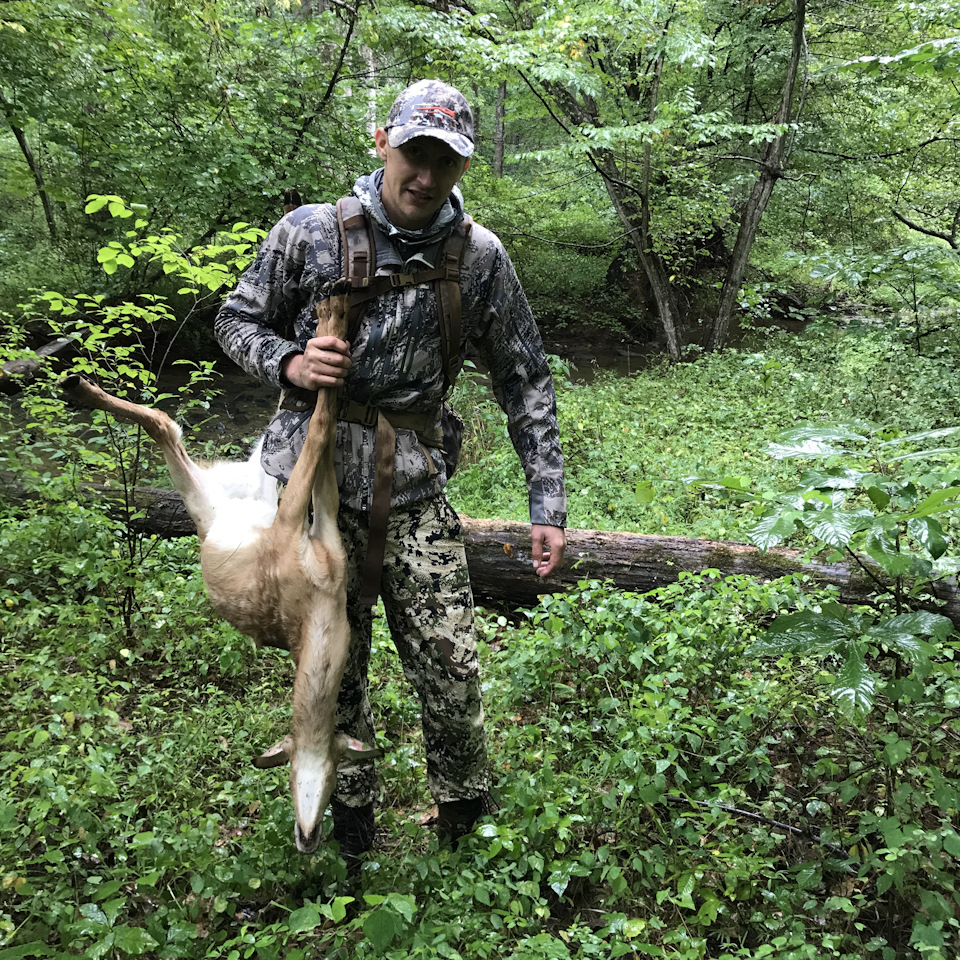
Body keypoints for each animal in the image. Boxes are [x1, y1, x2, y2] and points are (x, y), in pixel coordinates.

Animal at [61, 280, 378, 856]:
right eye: (294, 772)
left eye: (334, 774)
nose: (307, 839)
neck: (317, 615)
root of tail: (212, 522)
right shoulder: (295, 527)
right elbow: (320, 432)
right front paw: (330, 331)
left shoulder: (326, 540)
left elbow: (325, 467)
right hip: (219, 498)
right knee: (169, 424)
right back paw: (78, 386)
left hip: (221, 489)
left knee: (169, 425)